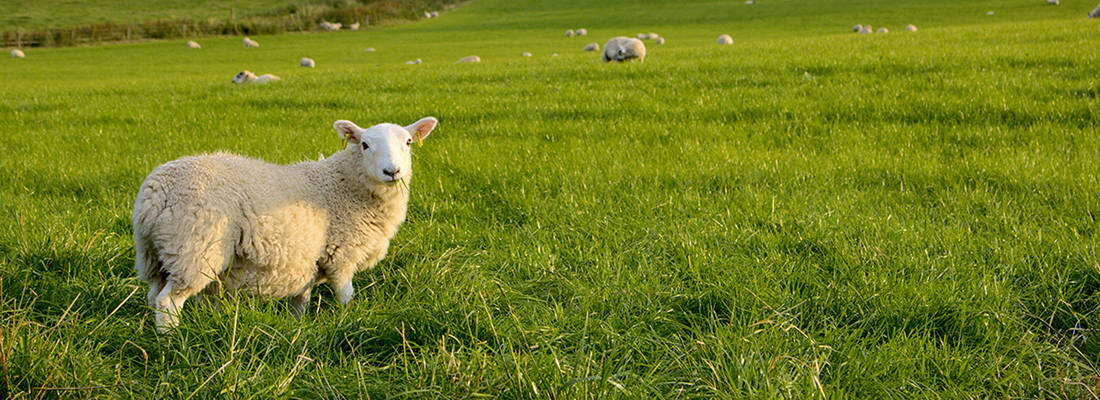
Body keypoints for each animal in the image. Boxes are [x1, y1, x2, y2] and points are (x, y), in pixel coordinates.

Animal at [137, 115, 442, 331]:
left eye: (408, 142)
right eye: (365, 145)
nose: (392, 171)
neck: (343, 185)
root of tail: (154, 194)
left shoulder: (308, 260)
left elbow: (301, 301)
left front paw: (298, 326)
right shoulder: (341, 257)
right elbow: (346, 297)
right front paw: (349, 321)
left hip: (156, 256)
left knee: (153, 297)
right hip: (194, 248)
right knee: (168, 303)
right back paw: (173, 343)